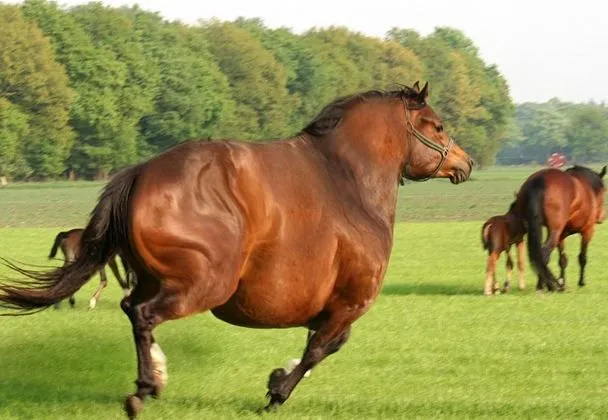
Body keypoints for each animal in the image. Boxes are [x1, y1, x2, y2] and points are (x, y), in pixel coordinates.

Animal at [0, 82, 476, 416]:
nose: (466, 163)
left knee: (132, 309)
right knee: (144, 315)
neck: (347, 182)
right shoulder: (349, 301)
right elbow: (322, 348)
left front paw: (278, 377)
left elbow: (320, 345)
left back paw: (155, 376)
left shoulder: (336, 306)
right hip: (203, 284)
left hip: (161, 278)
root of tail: (139, 174)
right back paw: (145, 388)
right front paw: (276, 389)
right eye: (437, 125)